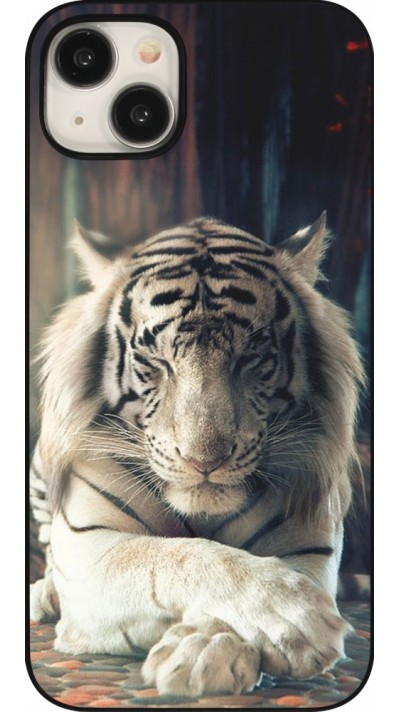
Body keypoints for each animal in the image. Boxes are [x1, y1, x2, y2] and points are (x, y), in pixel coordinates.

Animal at [30, 213, 364, 697]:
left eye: (251, 358)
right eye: (156, 361)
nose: (204, 461)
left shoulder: (309, 545)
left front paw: (205, 652)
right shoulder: (91, 546)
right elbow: (180, 556)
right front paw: (294, 617)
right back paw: (44, 594)